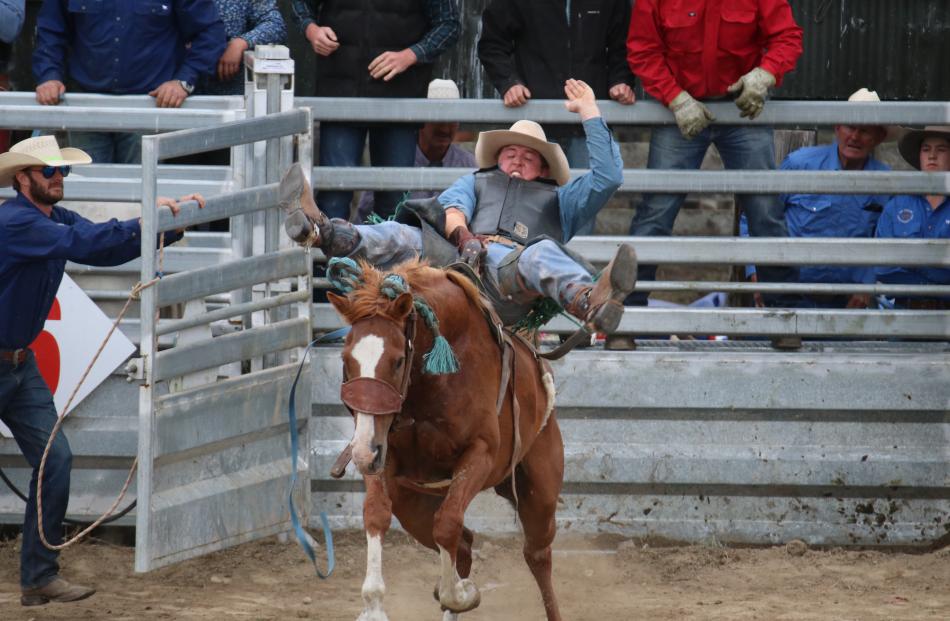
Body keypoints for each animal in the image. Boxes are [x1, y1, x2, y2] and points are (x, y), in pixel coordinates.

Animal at [328, 258, 564, 620]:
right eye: (346, 360)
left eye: (398, 360)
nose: (364, 454)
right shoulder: (384, 453)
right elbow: (377, 514)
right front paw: (374, 605)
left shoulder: (480, 454)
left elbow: (448, 524)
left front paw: (460, 595)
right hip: (413, 504)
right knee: (464, 543)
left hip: (539, 493)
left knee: (536, 554)